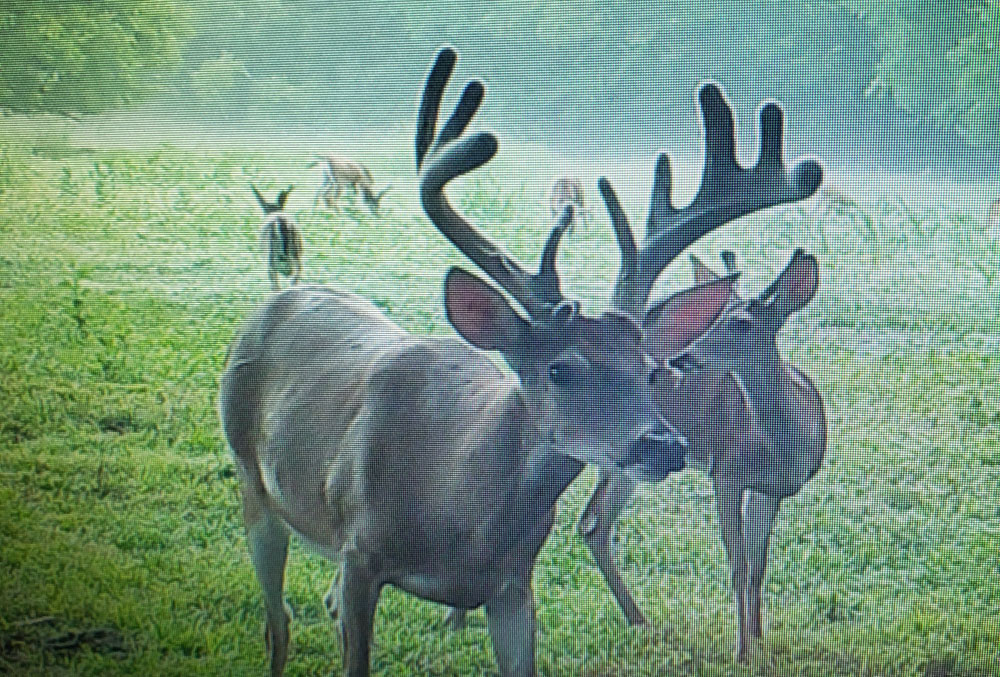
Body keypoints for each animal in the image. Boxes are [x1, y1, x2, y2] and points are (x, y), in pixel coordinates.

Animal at [219, 46, 736, 676]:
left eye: (652, 373)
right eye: (559, 369)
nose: (663, 445)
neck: (458, 504)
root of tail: (274, 303)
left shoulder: (513, 583)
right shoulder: (359, 549)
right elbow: (354, 650)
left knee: (319, 602)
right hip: (250, 476)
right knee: (279, 620)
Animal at [568, 87, 824, 664]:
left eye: (743, 321)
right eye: (717, 315)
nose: (682, 357)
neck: (780, 438)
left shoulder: (776, 489)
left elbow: (757, 568)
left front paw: (758, 637)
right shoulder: (726, 471)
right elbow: (737, 567)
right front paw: (743, 653)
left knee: (592, 522)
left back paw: (642, 624)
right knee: (588, 518)